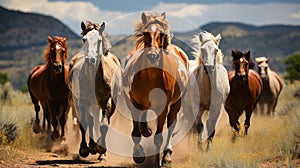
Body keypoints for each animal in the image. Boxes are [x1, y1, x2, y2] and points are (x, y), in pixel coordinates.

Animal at [121, 12, 189, 167]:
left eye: (162, 34)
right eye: (146, 33)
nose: (152, 56)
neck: (151, 76)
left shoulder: (162, 107)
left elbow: (158, 137)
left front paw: (157, 161)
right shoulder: (133, 103)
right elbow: (136, 132)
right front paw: (138, 155)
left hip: (177, 103)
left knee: (171, 124)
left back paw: (167, 156)